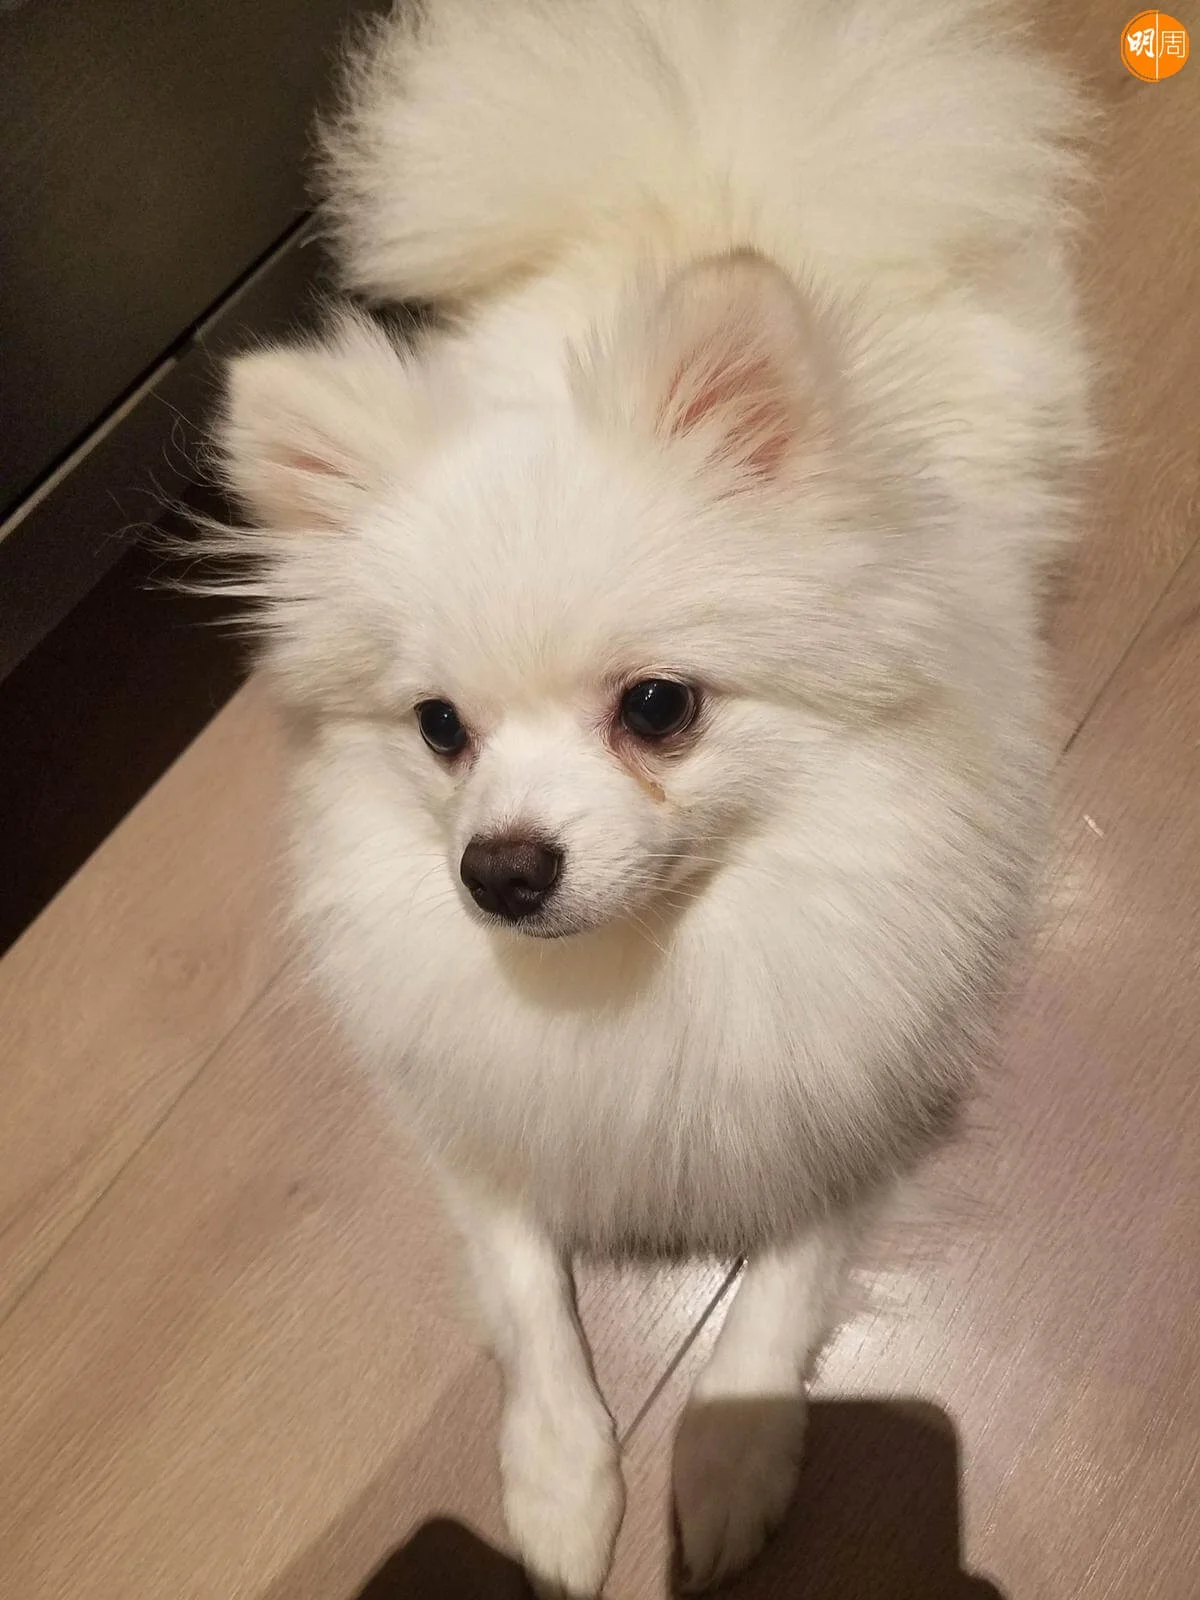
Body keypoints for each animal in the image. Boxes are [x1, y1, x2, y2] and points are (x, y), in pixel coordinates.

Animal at [213, 1, 1091, 1591]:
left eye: (659, 710)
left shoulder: (858, 1088)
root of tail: (701, 173)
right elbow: (528, 1298)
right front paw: (561, 1490)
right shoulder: (477, 1106)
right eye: (440, 729)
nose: (500, 869)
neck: (653, 968)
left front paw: (731, 1468)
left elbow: (774, 1297)